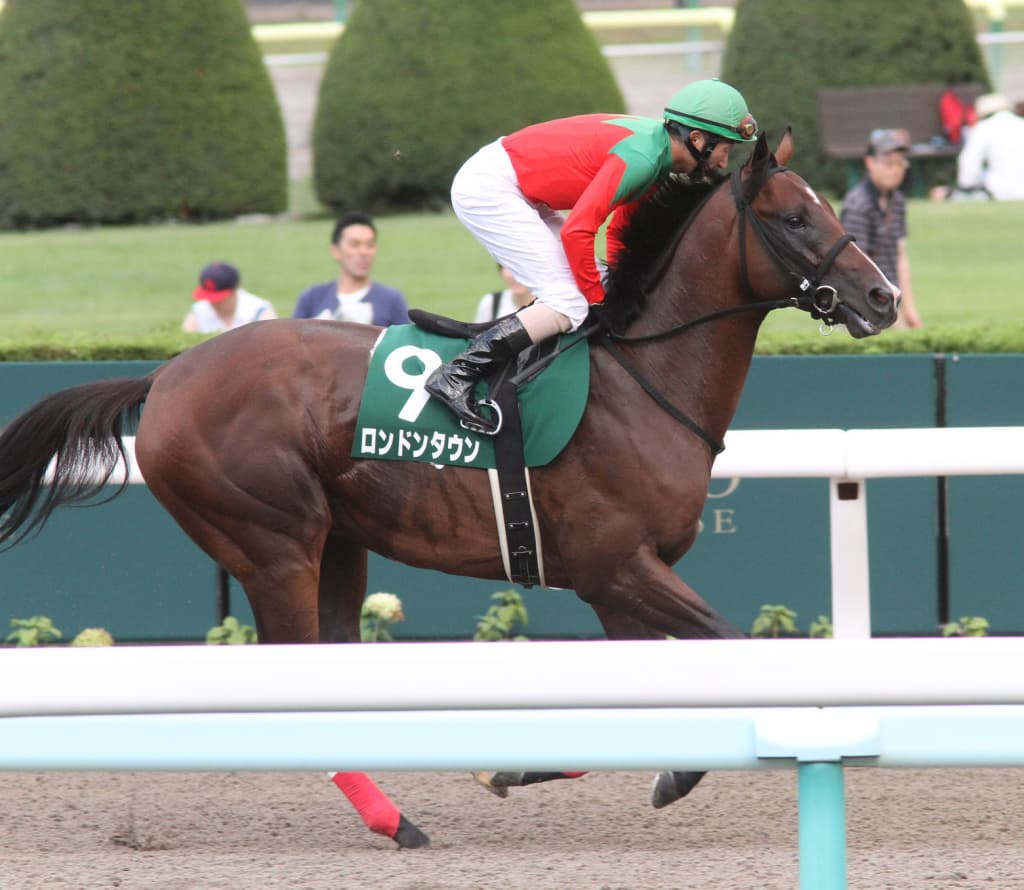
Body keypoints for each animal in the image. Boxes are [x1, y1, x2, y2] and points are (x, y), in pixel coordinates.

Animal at [0, 132, 897, 847]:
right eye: (794, 218)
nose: (884, 296)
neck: (641, 379)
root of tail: (167, 375)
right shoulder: (617, 565)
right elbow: (732, 648)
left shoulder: (619, 582)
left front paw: (543, 769)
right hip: (273, 543)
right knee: (295, 682)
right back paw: (391, 820)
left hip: (340, 543)